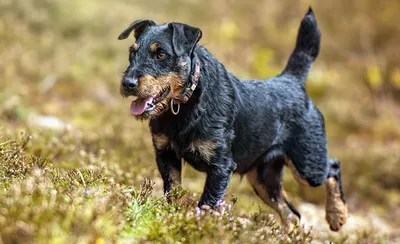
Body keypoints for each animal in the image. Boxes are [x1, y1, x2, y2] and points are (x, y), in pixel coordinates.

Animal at [118, 7, 346, 232]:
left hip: (308, 164)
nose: (127, 83)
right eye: (132, 52)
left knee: (332, 167)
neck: (186, 103)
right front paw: (172, 218)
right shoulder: (166, 155)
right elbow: (173, 191)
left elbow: (207, 203)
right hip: (263, 178)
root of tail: (292, 80)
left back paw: (336, 215)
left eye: (161, 54)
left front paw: (198, 227)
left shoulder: (221, 166)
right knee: (291, 212)